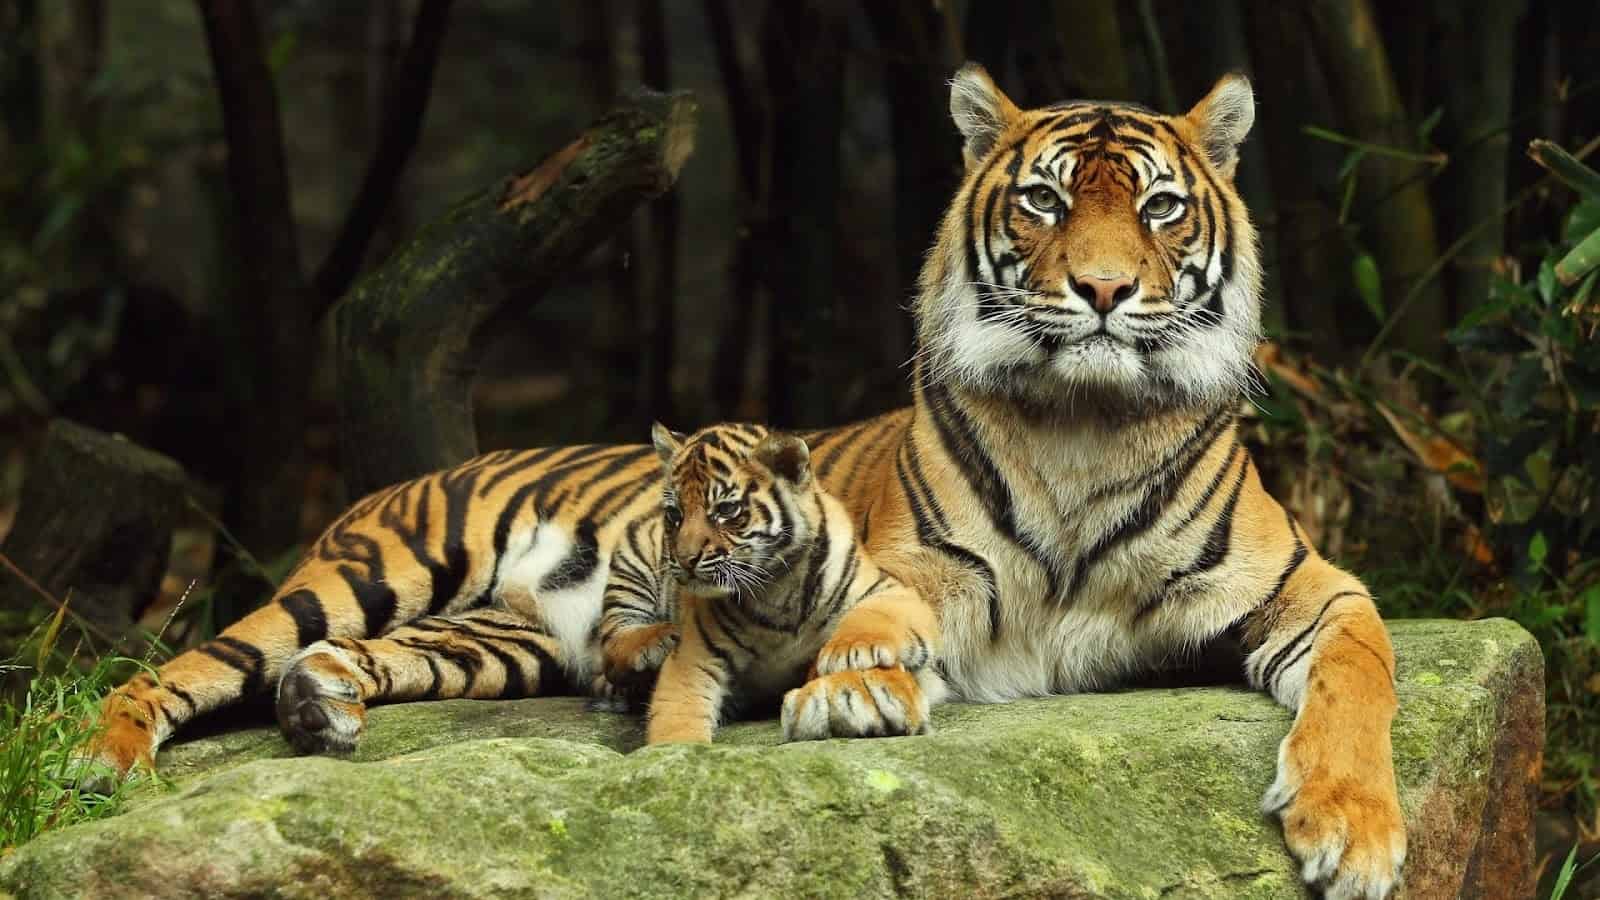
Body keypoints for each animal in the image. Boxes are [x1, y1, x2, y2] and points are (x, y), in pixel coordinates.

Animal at [643, 423, 941, 745]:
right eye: (675, 514)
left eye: (726, 510)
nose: (685, 559)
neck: (776, 587)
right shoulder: (694, 657)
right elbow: (677, 716)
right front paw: (676, 749)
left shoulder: (892, 590)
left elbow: (874, 616)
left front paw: (848, 652)